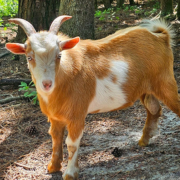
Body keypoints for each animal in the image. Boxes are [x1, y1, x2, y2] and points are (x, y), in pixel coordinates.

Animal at [5, 15, 179, 180]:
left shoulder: (76, 115)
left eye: (59, 55)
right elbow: (55, 139)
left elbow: (71, 143)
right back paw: (144, 140)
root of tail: (161, 36)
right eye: (29, 57)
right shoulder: (55, 117)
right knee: (154, 109)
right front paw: (53, 167)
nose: (47, 84)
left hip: (165, 81)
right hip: (146, 89)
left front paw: (70, 173)